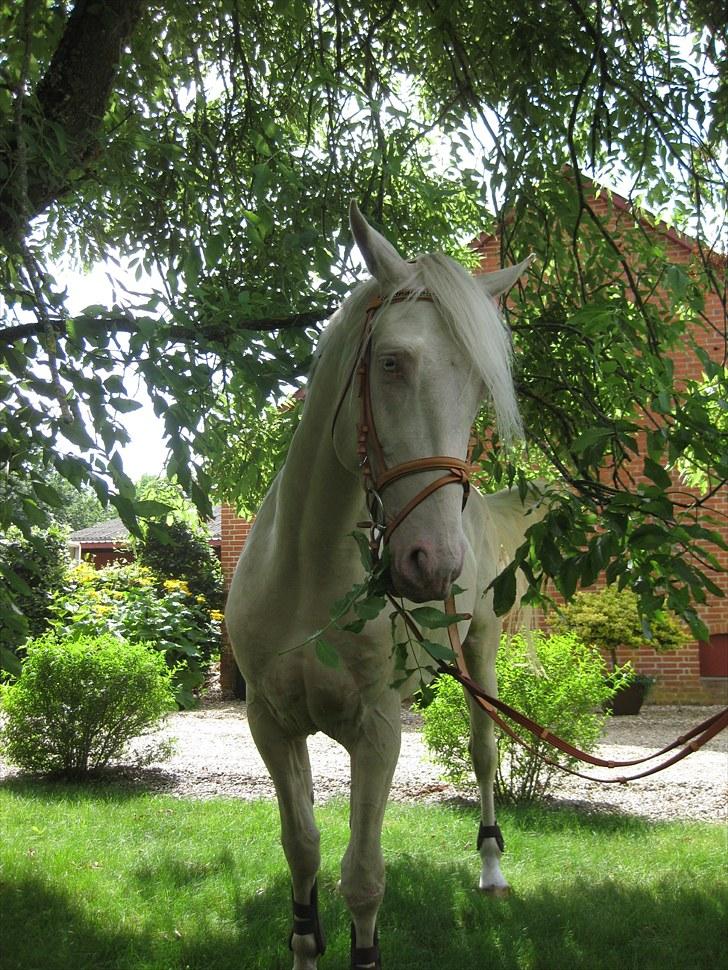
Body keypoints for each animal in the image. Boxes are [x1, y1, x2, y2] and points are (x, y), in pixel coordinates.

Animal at [226, 200, 536, 964]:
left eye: (479, 389)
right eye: (391, 361)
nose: (434, 563)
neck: (307, 579)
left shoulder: (377, 729)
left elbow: (363, 878)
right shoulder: (271, 724)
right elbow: (302, 848)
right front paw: (305, 943)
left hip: (481, 651)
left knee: (485, 755)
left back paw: (491, 869)